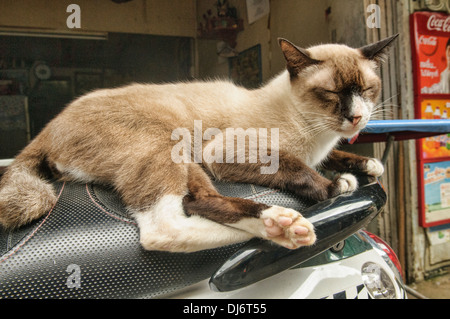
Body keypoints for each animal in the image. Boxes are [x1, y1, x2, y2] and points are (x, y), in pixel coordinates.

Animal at [0, 35, 396, 252]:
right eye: (332, 93)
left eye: (367, 89)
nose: (357, 118)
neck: (317, 133)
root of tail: (48, 127)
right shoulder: (228, 152)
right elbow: (296, 167)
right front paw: (336, 188)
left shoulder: (320, 150)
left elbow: (334, 157)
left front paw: (367, 164)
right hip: (168, 146)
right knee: (162, 229)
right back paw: (283, 229)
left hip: (187, 161)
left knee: (198, 201)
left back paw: (276, 229)